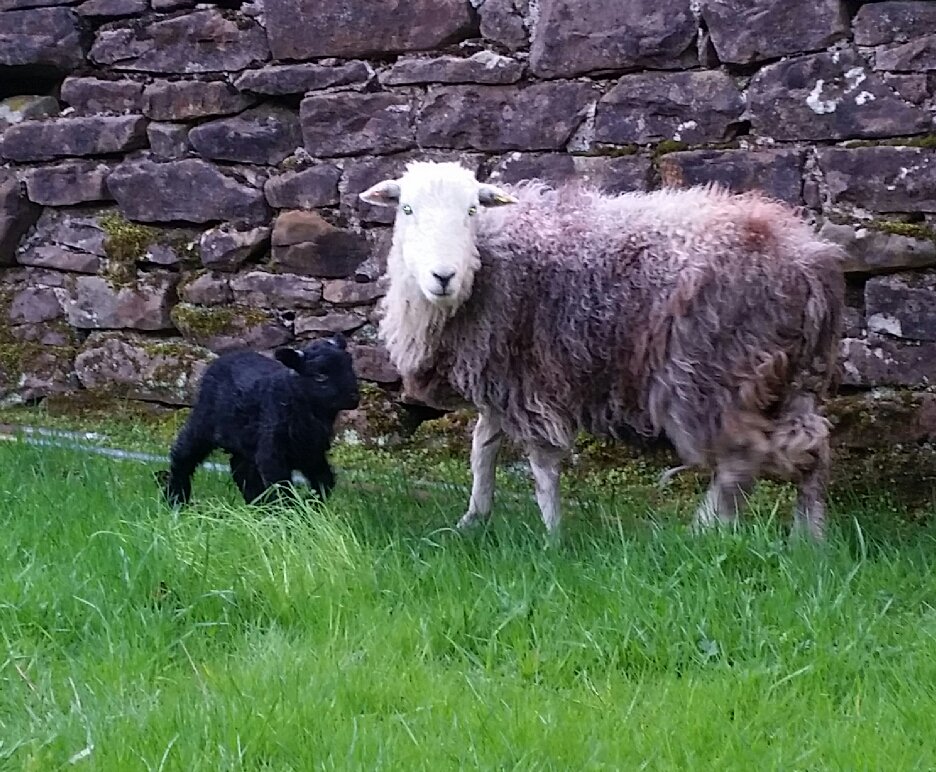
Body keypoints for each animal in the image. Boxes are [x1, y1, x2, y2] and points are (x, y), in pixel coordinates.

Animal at [161, 333, 360, 507]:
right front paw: (289, 513)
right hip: (203, 423)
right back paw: (176, 500)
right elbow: (282, 487)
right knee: (182, 456)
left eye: (350, 367)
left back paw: (256, 505)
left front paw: (312, 506)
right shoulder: (271, 452)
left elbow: (325, 481)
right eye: (320, 376)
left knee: (240, 468)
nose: (353, 398)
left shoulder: (312, 453)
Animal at [360, 161, 846, 540]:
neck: (491, 256)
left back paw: (704, 532)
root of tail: (809, 260)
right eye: (406, 208)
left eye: (472, 210)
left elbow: (541, 466)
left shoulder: (528, 377)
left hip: (712, 374)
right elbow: (483, 447)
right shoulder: (500, 374)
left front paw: (552, 537)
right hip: (791, 375)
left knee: (744, 459)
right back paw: (810, 540)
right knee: (810, 447)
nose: (443, 276)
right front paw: (473, 519)